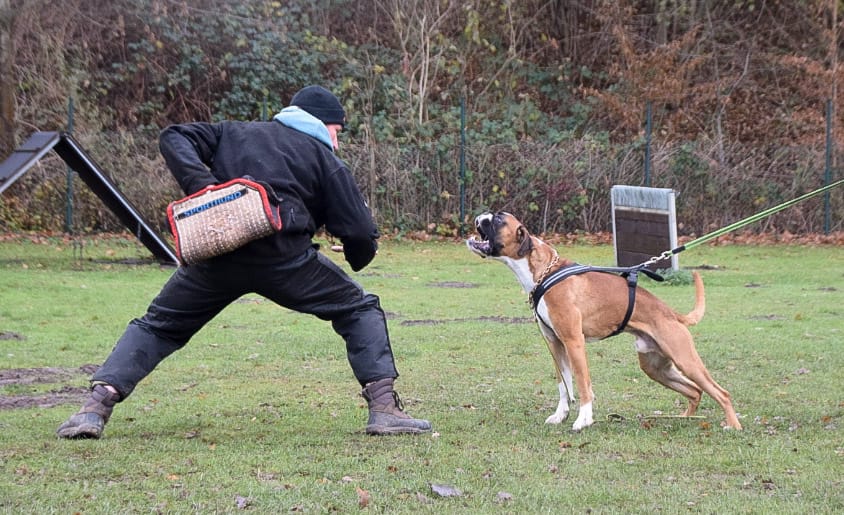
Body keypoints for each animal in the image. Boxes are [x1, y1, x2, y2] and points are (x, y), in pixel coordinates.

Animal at [466, 212, 742, 431]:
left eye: (498, 219)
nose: (481, 215)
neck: (544, 272)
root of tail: (672, 313)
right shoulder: (555, 344)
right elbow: (563, 385)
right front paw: (561, 415)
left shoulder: (574, 342)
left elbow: (582, 384)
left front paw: (583, 420)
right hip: (656, 367)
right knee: (695, 391)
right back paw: (685, 418)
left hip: (686, 360)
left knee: (721, 392)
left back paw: (732, 425)